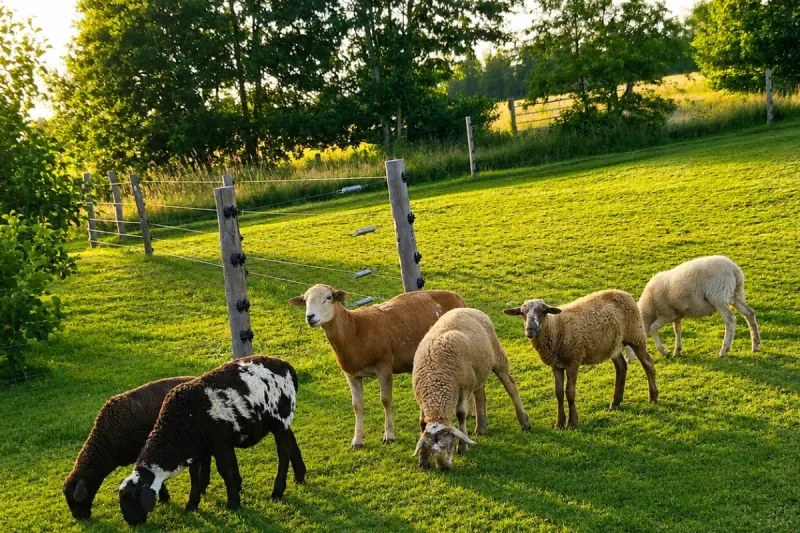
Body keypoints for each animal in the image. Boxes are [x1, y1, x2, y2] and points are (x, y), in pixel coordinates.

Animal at [118, 355, 305, 526]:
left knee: (283, 454)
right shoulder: (197, 449)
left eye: (132, 498)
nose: (132, 523)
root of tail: (286, 365)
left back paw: (277, 492)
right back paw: (300, 476)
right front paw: (192, 505)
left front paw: (233, 502)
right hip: (282, 421)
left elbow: (224, 471)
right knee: (292, 442)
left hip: (280, 419)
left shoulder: (219, 444)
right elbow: (195, 477)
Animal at [289, 284, 466, 450]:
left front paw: (389, 435)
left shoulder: (384, 366)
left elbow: (385, 400)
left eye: (328, 297)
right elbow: (357, 405)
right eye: (305, 300)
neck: (354, 330)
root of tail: (456, 296)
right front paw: (357, 440)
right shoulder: (351, 374)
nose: (310, 317)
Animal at [411, 308, 531, 471]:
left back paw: (524, 422)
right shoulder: (421, 397)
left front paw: (463, 446)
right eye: (431, 448)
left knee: (511, 386)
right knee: (480, 393)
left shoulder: (464, 387)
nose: (444, 468)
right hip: (478, 371)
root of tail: (466, 308)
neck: (436, 382)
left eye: (450, 444)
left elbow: (461, 414)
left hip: (497, 356)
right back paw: (481, 426)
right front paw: (423, 460)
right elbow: (422, 424)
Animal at [504, 290, 658, 429]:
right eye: (522, 313)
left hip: (635, 334)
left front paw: (572, 422)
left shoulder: (573, 360)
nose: (530, 330)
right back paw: (615, 403)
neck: (555, 328)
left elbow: (570, 392)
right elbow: (558, 393)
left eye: (543, 311)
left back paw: (653, 397)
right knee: (621, 367)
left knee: (648, 363)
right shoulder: (556, 365)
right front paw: (559, 423)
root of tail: (623, 293)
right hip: (614, 344)